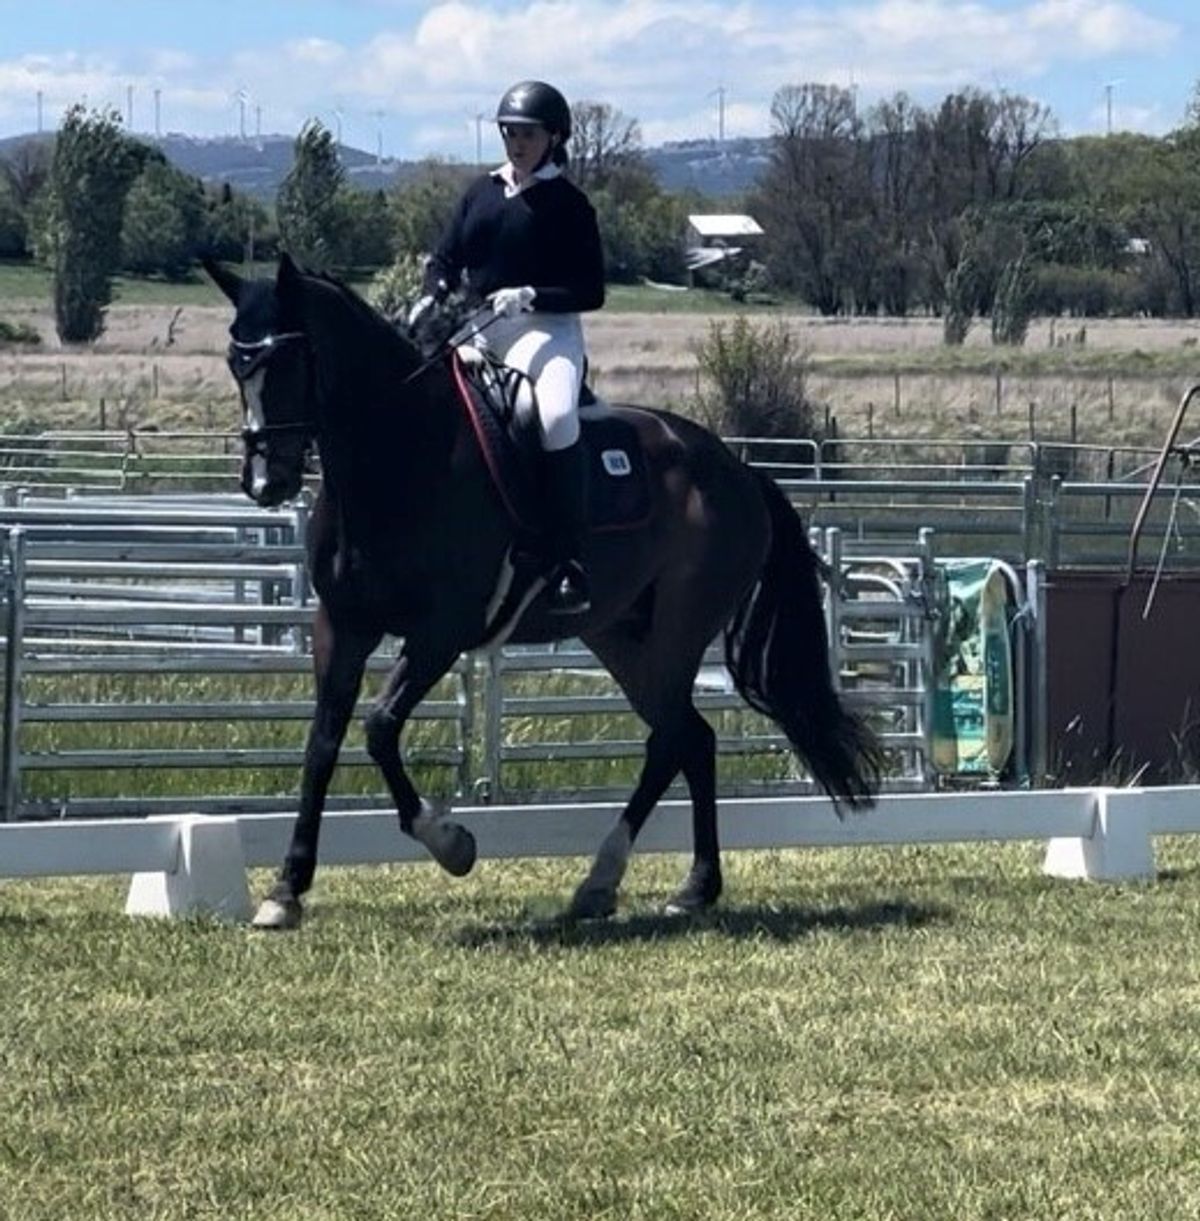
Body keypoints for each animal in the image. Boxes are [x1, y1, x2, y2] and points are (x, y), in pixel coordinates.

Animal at [205, 253, 881, 929]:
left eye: (289, 361)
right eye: (237, 363)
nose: (265, 482)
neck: (401, 457)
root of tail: (739, 471)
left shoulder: (441, 631)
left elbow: (378, 726)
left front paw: (451, 843)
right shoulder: (341, 624)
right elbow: (322, 743)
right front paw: (286, 889)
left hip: (677, 631)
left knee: (674, 738)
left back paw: (630, 880)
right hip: (619, 636)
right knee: (689, 738)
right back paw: (663, 885)